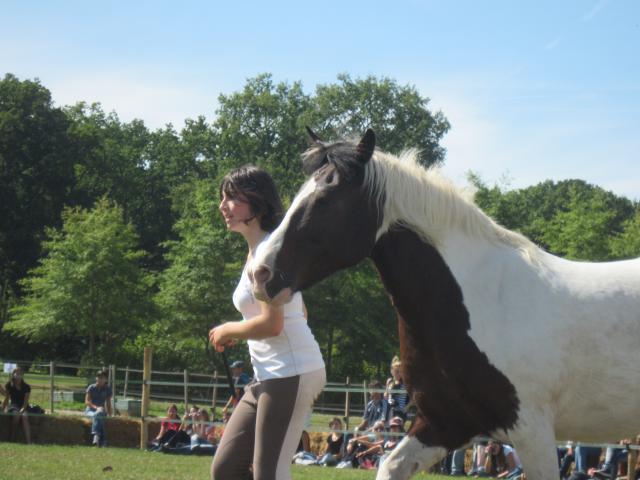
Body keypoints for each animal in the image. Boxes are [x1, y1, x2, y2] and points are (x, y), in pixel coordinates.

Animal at [246, 128, 640, 480]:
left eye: (326, 199)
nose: (260, 274)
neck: (480, 304)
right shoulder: (445, 423)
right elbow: (390, 465)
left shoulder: (533, 431)